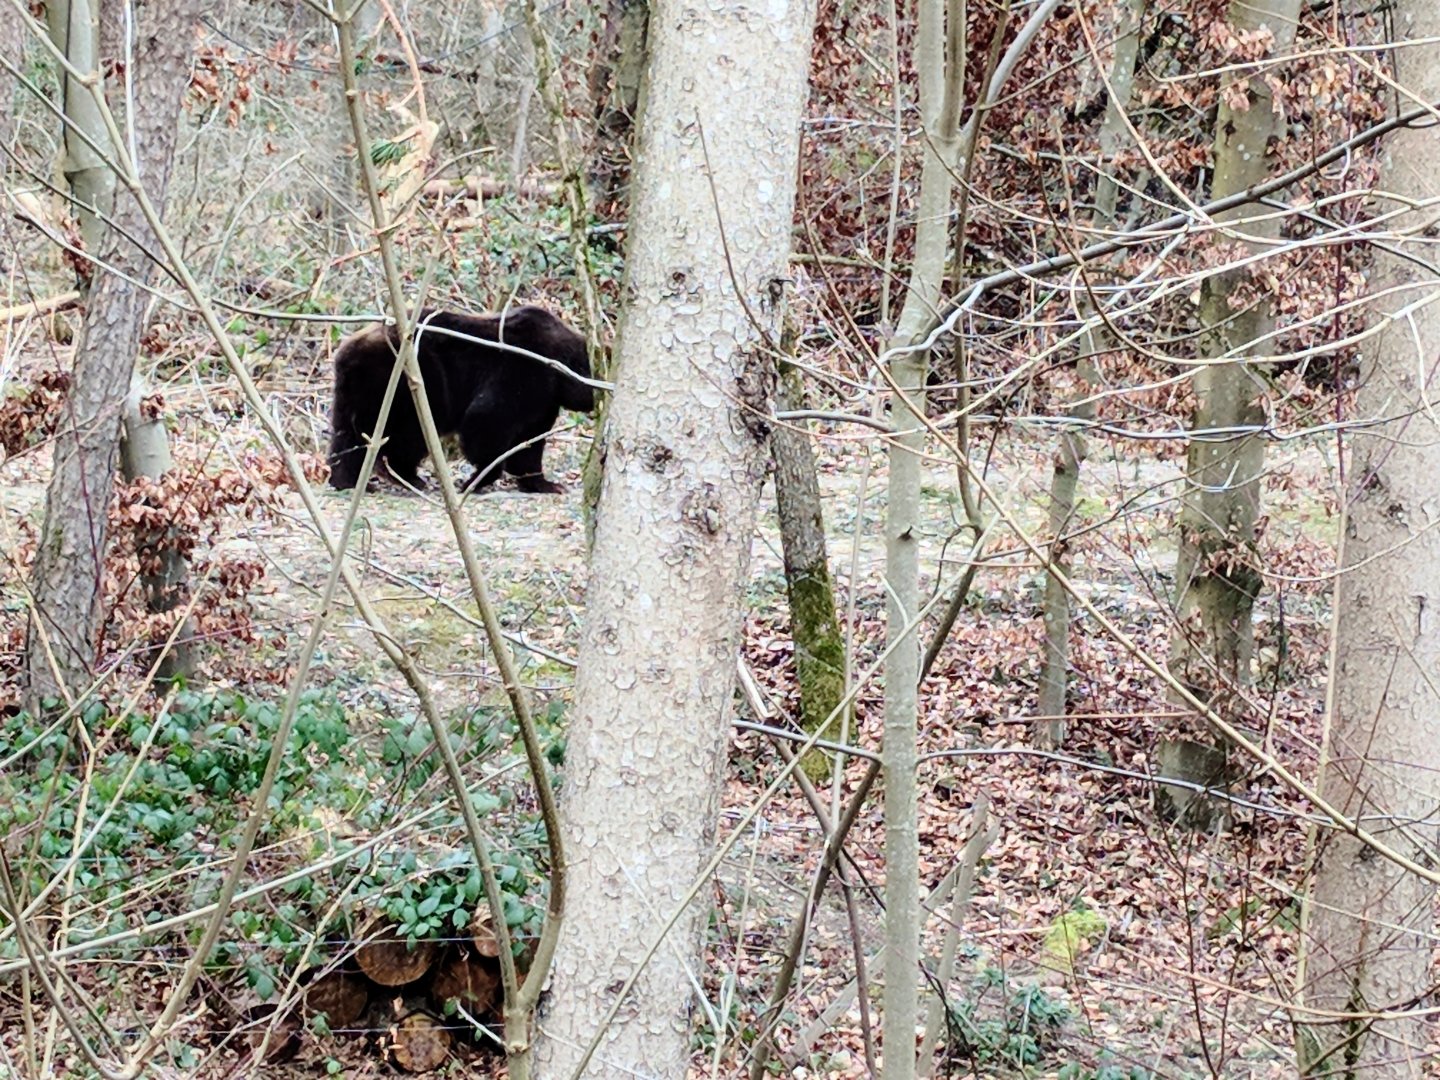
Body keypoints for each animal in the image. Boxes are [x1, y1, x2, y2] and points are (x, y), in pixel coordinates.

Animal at [327, 305, 595, 495]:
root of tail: (347, 350)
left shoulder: (543, 403)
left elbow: (529, 443)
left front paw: (545, 483)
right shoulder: (522, 371)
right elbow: (488, 418)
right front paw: (477, 478)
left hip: (356, 391)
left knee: (347, 434)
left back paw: (347, 480)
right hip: (409, 379)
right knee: (411, 431)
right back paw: (407, 476)